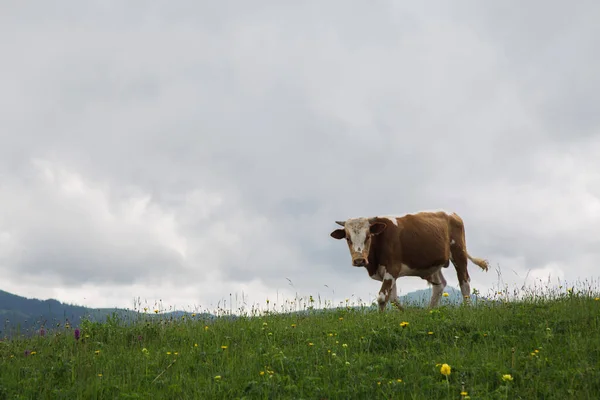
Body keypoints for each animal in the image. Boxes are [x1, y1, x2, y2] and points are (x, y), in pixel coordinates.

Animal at [330, 211, 490, 310]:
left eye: (368, 236)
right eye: (348, 238)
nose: (359, 260)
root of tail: (452, 214)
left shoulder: (392, 268)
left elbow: (382, 297)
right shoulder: (387, 272)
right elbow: (393, 298)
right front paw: (406, 313)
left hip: (459, 254)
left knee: (464, 283)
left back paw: (467, 308)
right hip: (434, 264)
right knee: (440, 285)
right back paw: (430, 311)